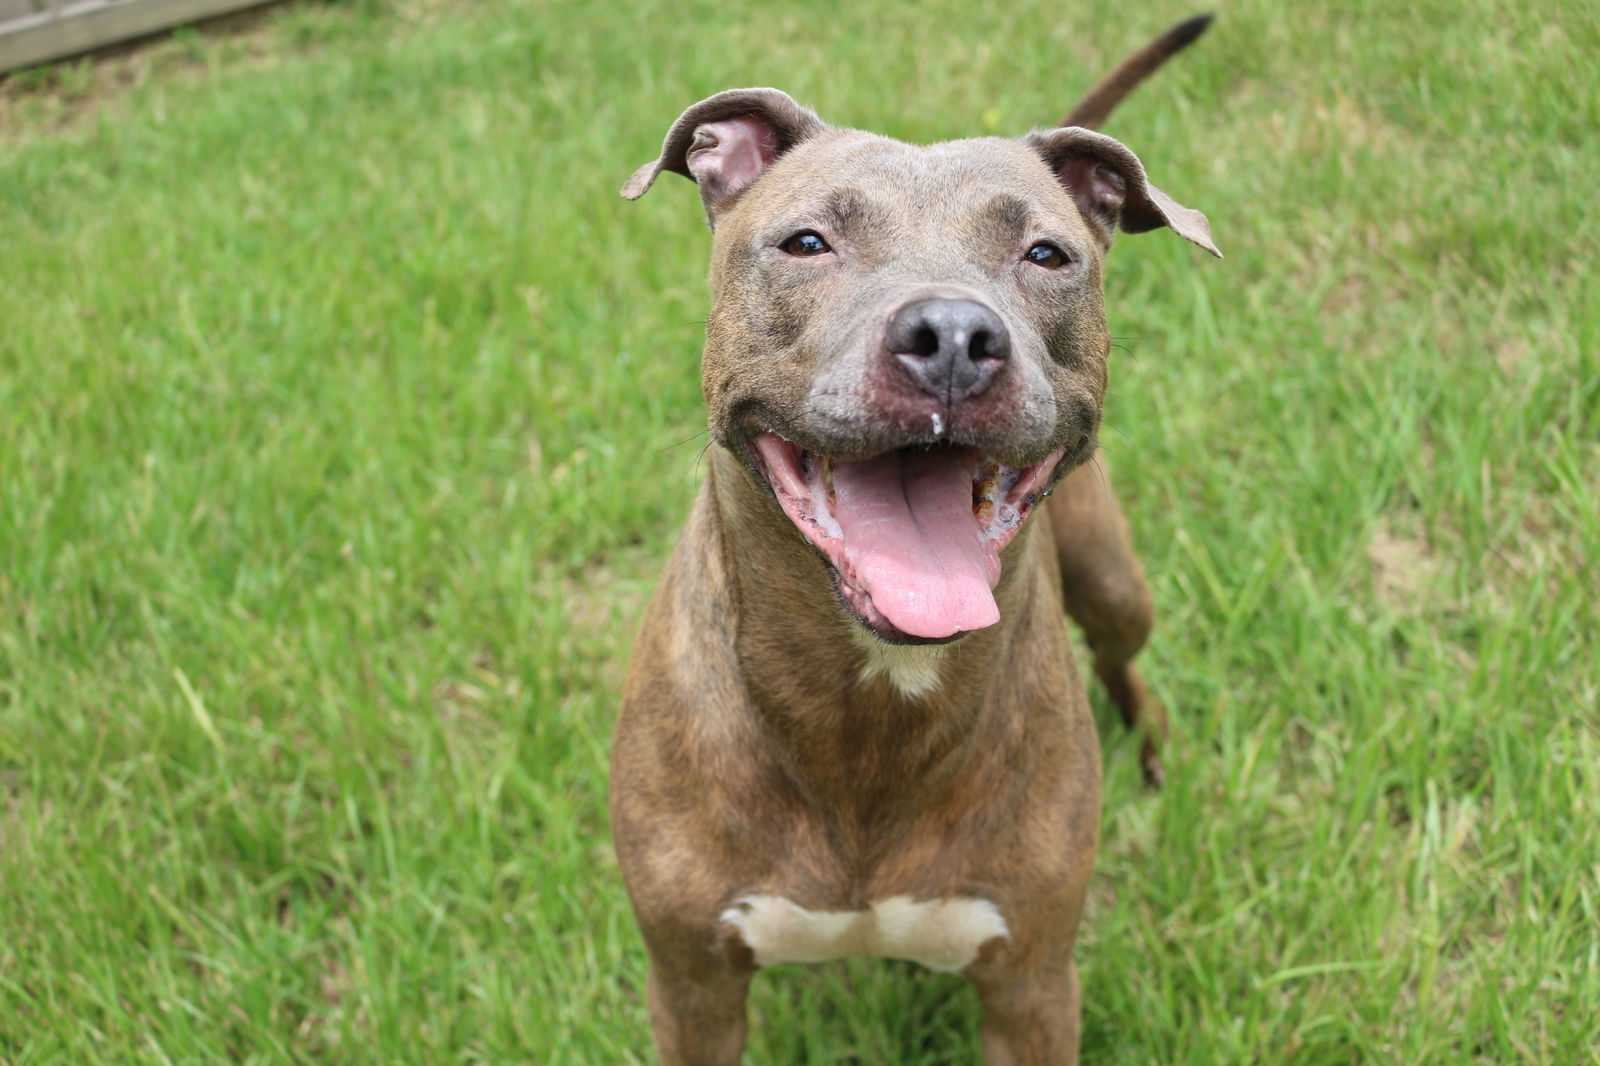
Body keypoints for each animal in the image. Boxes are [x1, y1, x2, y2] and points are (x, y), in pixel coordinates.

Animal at [604, 18, 1216, 1062]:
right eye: (807, 242)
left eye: (1046, 255)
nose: (955, 335)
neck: (869, 708)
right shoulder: (692, 989)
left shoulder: (1031, 987)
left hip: (1112, 579)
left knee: (1121, 652)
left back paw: (1151, 745)